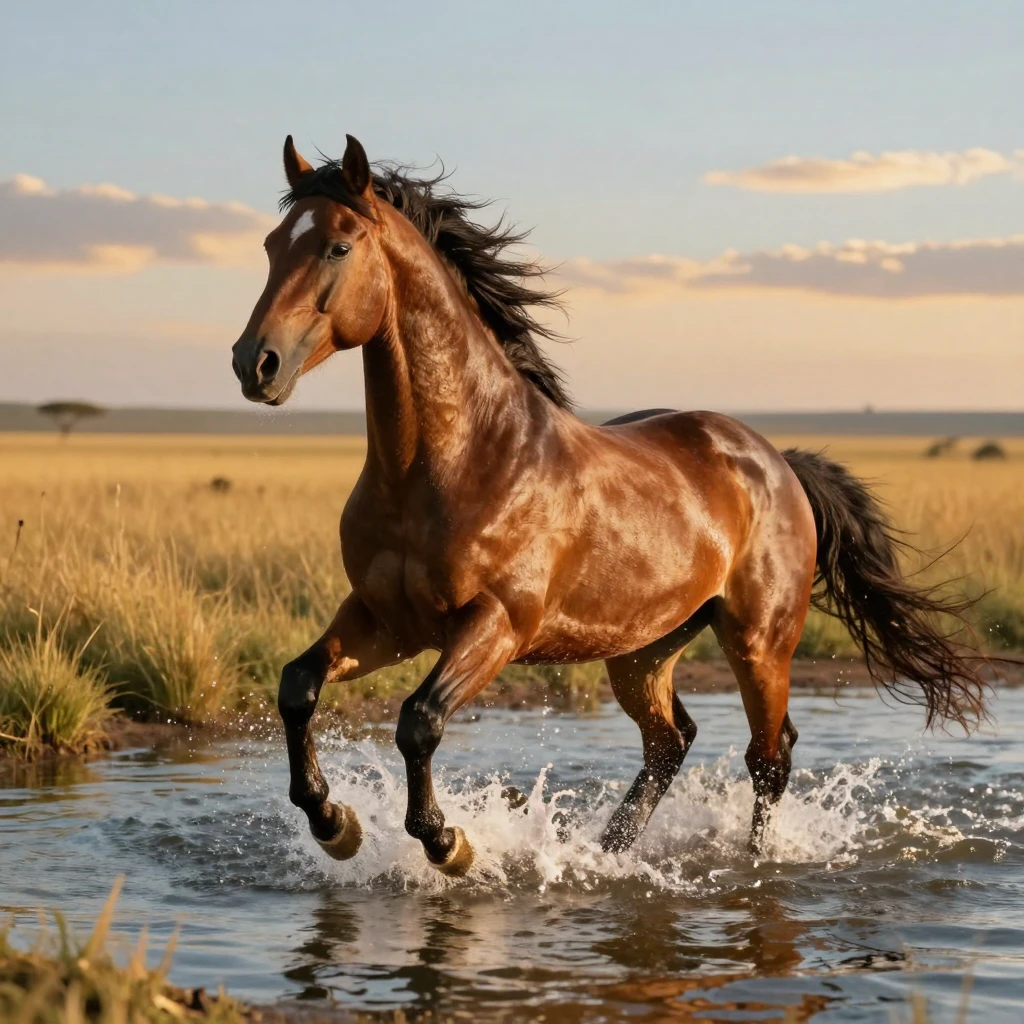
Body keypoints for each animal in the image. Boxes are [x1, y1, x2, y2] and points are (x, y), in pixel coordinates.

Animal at [231, 134, 988, 877]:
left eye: (338, 247)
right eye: (270, 245)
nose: (253, 363)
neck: (453, 461)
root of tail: (777, 462)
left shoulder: (495, 625)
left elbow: (419, 720)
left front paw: (447, 842)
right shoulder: (386, 620)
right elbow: (298, 687)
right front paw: (335, 824)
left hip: (759, 641)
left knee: (768, 756)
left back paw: (749, 865)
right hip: (645, 650)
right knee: (671, 741)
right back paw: (607, 852)